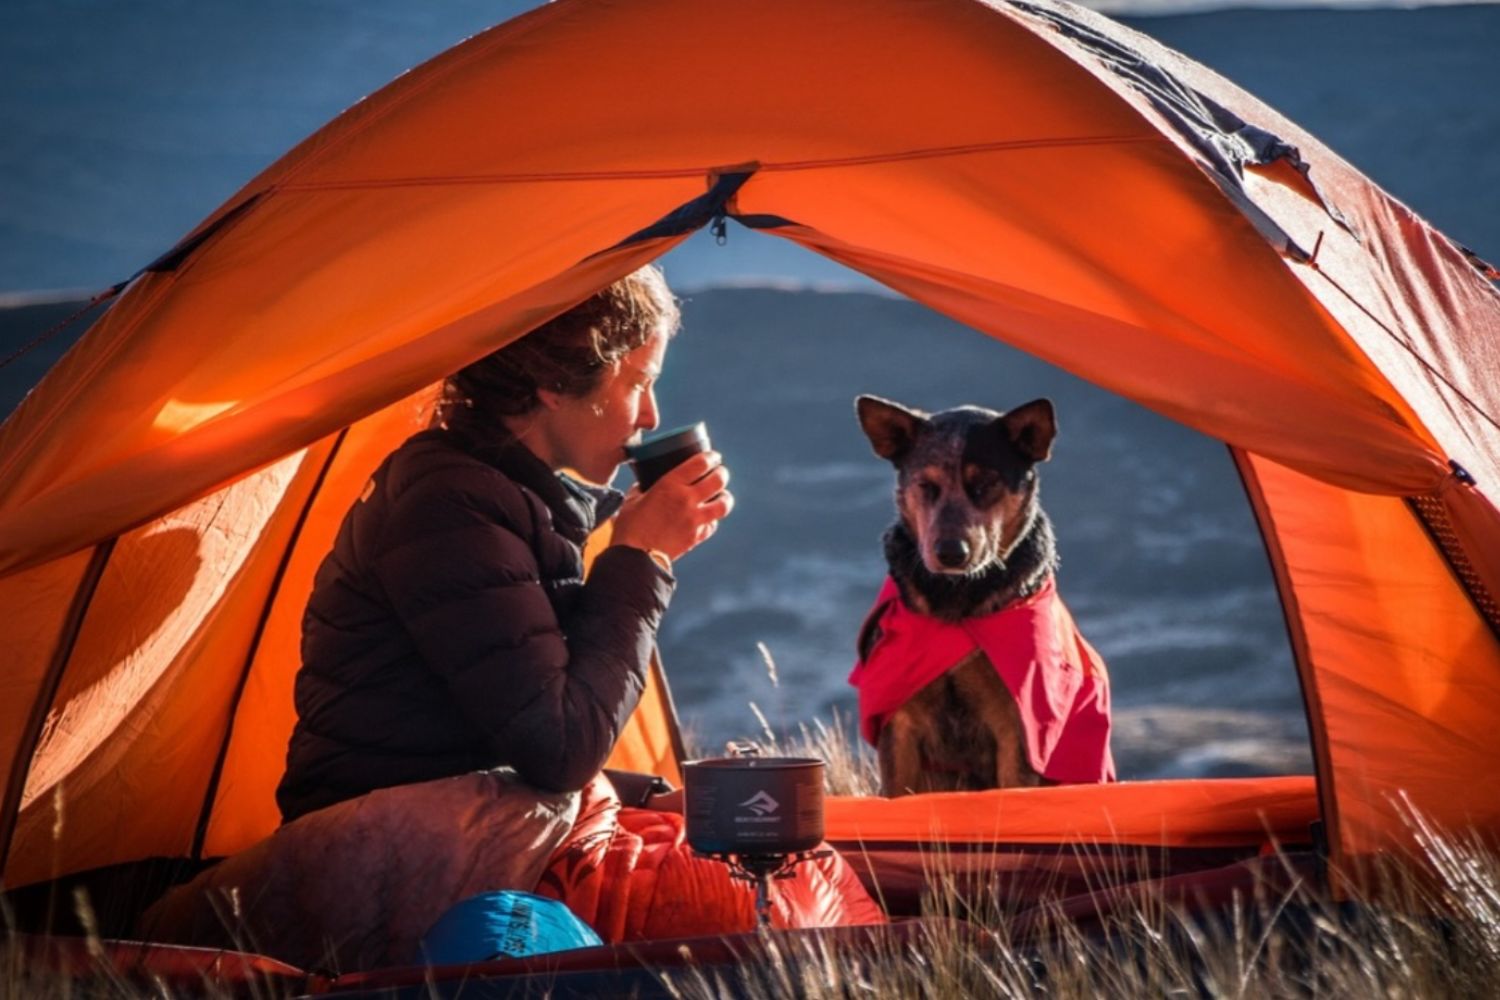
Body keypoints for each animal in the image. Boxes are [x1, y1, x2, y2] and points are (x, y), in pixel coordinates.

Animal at [846, 398, 1116, 797]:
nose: (950, 552)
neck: (958, 607)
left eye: (986, 484)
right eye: (926, 485)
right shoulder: (899, 720)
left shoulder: (1018, 722)